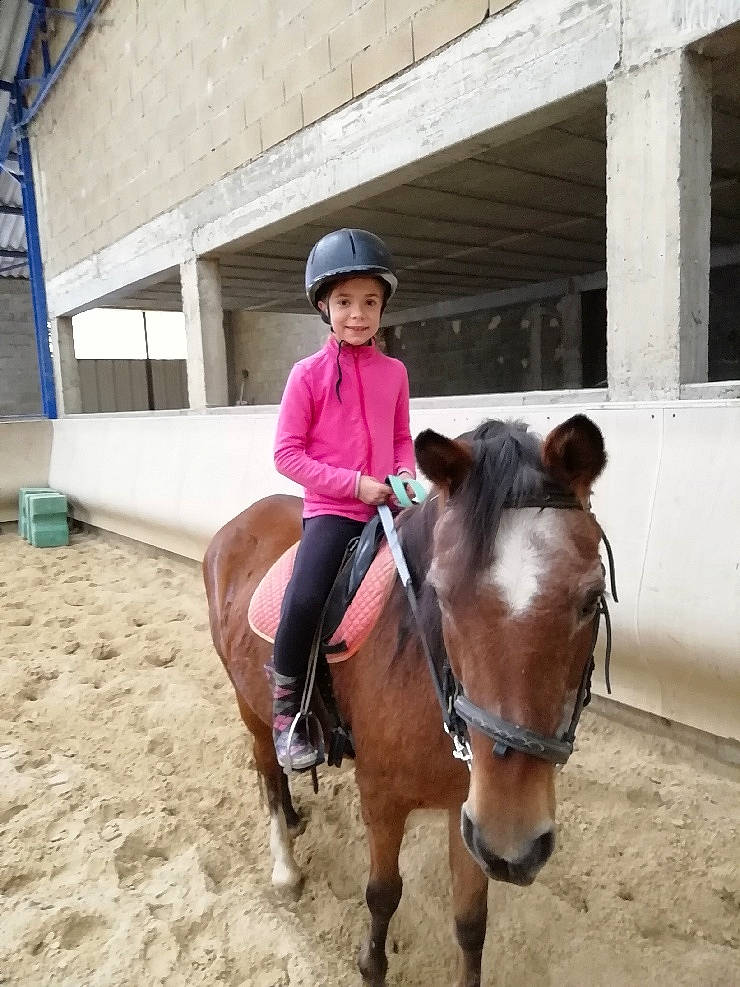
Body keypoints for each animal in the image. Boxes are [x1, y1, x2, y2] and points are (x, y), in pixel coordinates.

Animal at [203, 414, 609, 987]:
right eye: (442, 594)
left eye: (591, 598)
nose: (514, 844)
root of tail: (240, 521)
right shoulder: (382, 796)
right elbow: (383, 894)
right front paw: (371, 966)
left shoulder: (470, 812)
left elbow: (470, 923)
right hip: (251, 706)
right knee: (266, 767)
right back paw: (284, 865)